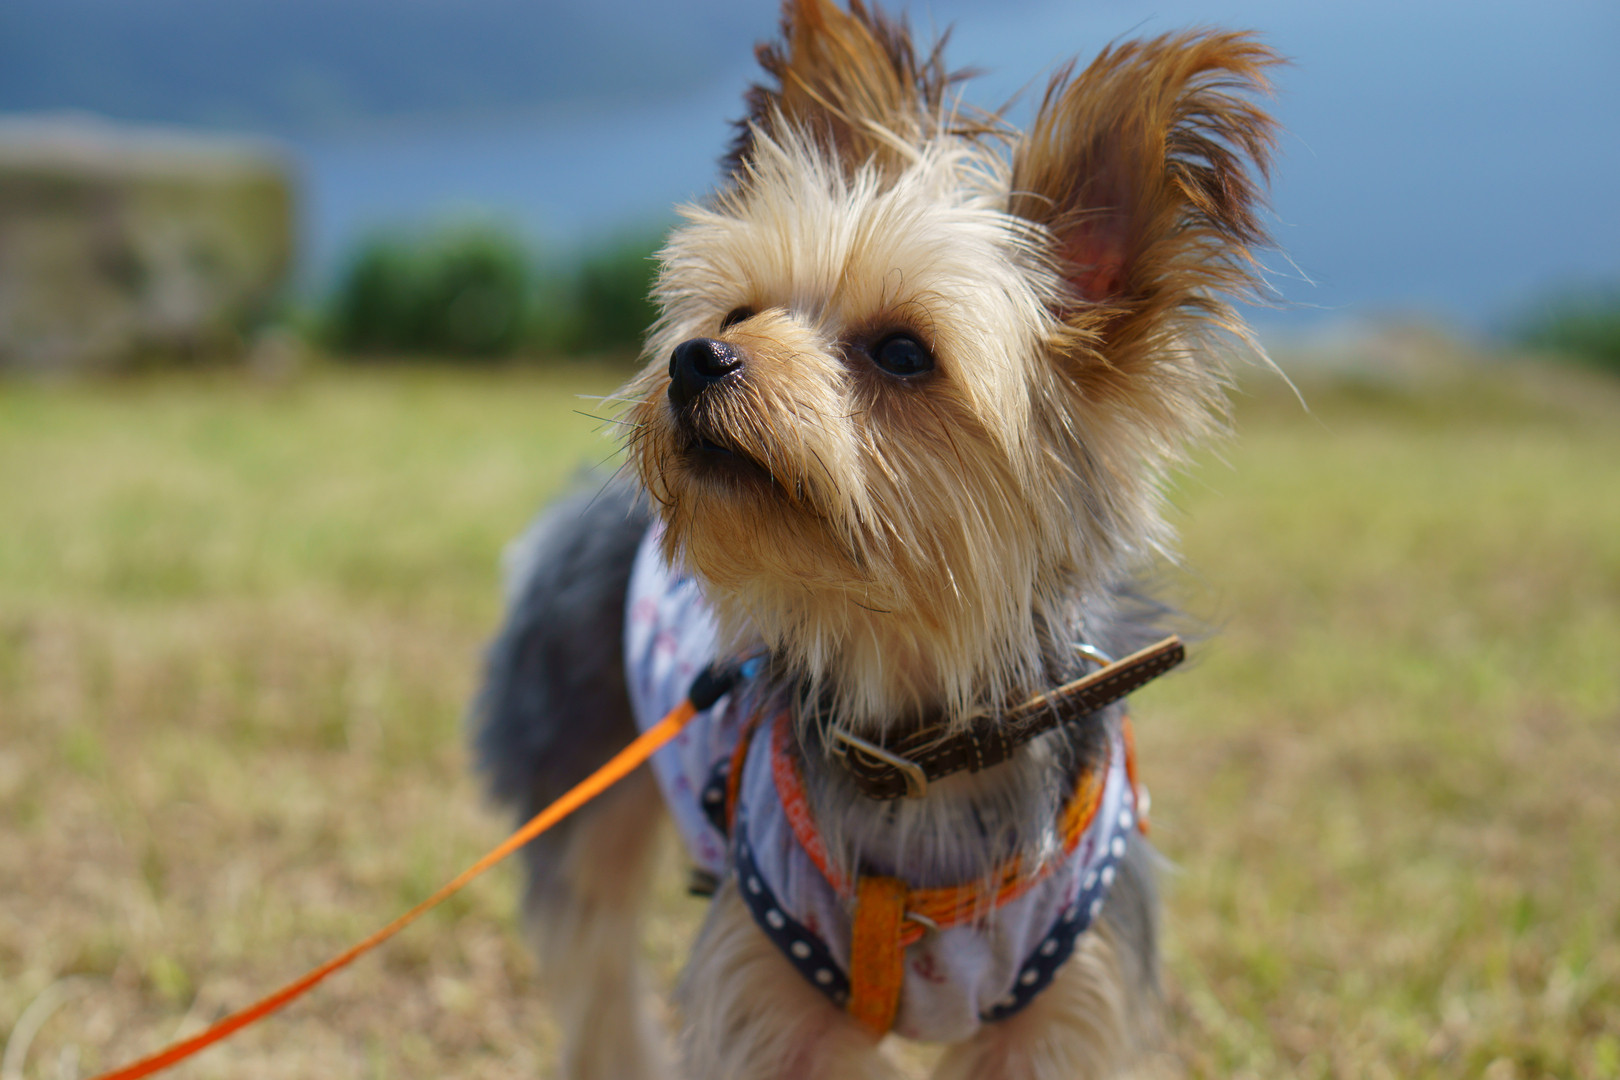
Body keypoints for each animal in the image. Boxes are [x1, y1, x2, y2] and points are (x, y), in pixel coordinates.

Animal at [474, 2, 1278, 1076]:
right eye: (739, 312)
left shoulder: (1063, 1001)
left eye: (902, 353)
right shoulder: (775, 985)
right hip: (583, 773)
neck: (918, 739)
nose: (695, 358)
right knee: (597, 958)